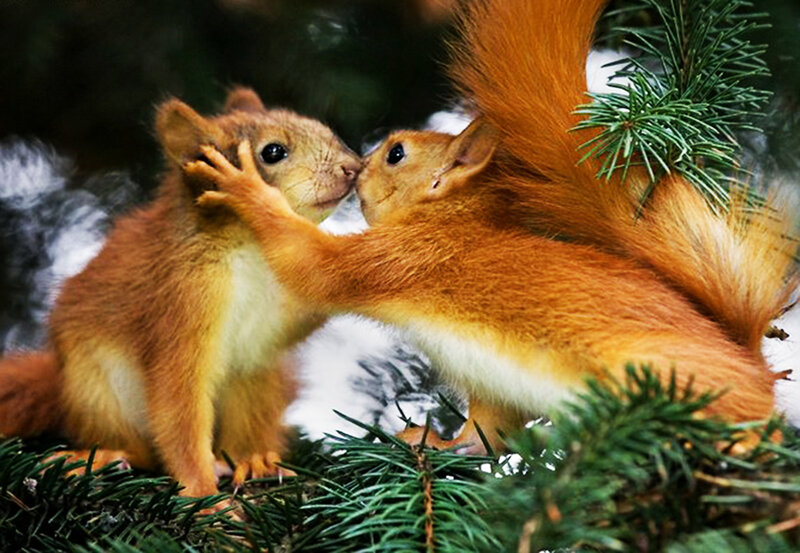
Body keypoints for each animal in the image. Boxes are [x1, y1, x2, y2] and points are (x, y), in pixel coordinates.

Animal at [0, 87, 360, 499]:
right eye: (273, 152)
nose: (354, 167)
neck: (252, 250)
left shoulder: (267, 332)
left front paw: (250, 461)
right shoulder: (181, 302)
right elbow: (179, 408)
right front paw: (203, 496)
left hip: (262, 377)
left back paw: (252, 459)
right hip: (98, 390)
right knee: (137, 447)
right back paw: (104, 457)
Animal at [185, 0, 797, 454]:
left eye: (397, 154)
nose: (356, 166)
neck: (451, 222)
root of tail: (751, 366)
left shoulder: (400, 256)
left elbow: (312, 266)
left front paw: (247, 189)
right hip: (497, 386)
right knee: (486, 436)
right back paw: (431, 441)